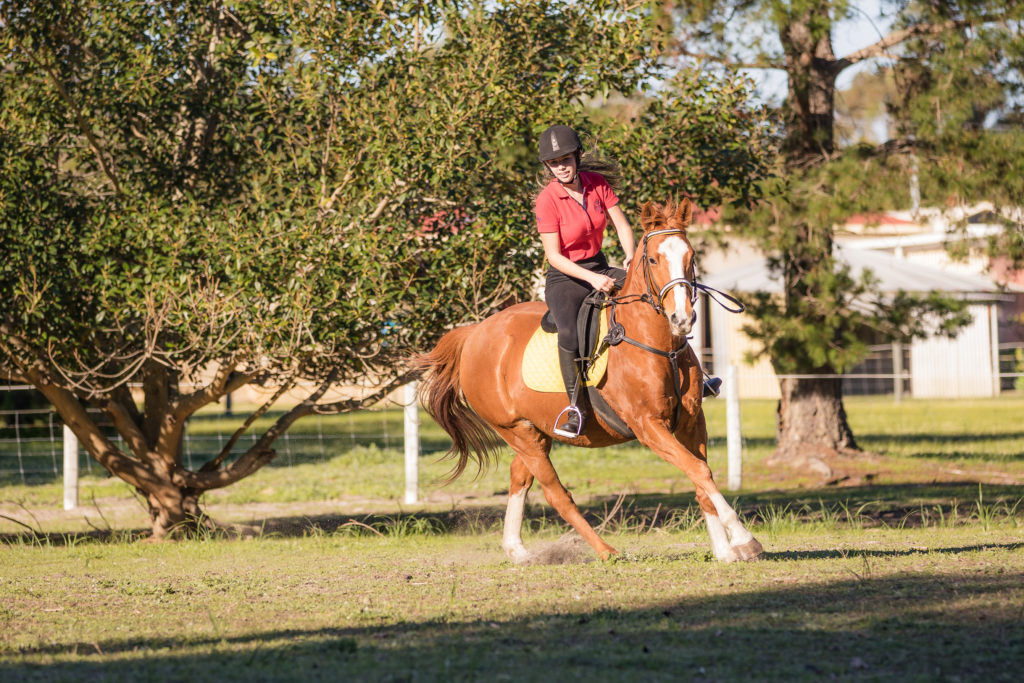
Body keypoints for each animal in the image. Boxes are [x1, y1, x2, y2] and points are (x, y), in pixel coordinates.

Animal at [413, 196, 761, 561]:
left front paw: (724, 550)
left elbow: (701, 477)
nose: (682, 319)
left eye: (690, 256)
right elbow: (697, 470)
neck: (660, 347)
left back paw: (517, 550)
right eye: (653, 259)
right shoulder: (649, 426)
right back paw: (606, 551)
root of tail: (475, 333)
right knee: (555, 493)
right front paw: (743, 538)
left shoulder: (692, 421)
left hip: (535, 433)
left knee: (519, 477)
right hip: (516, 431)